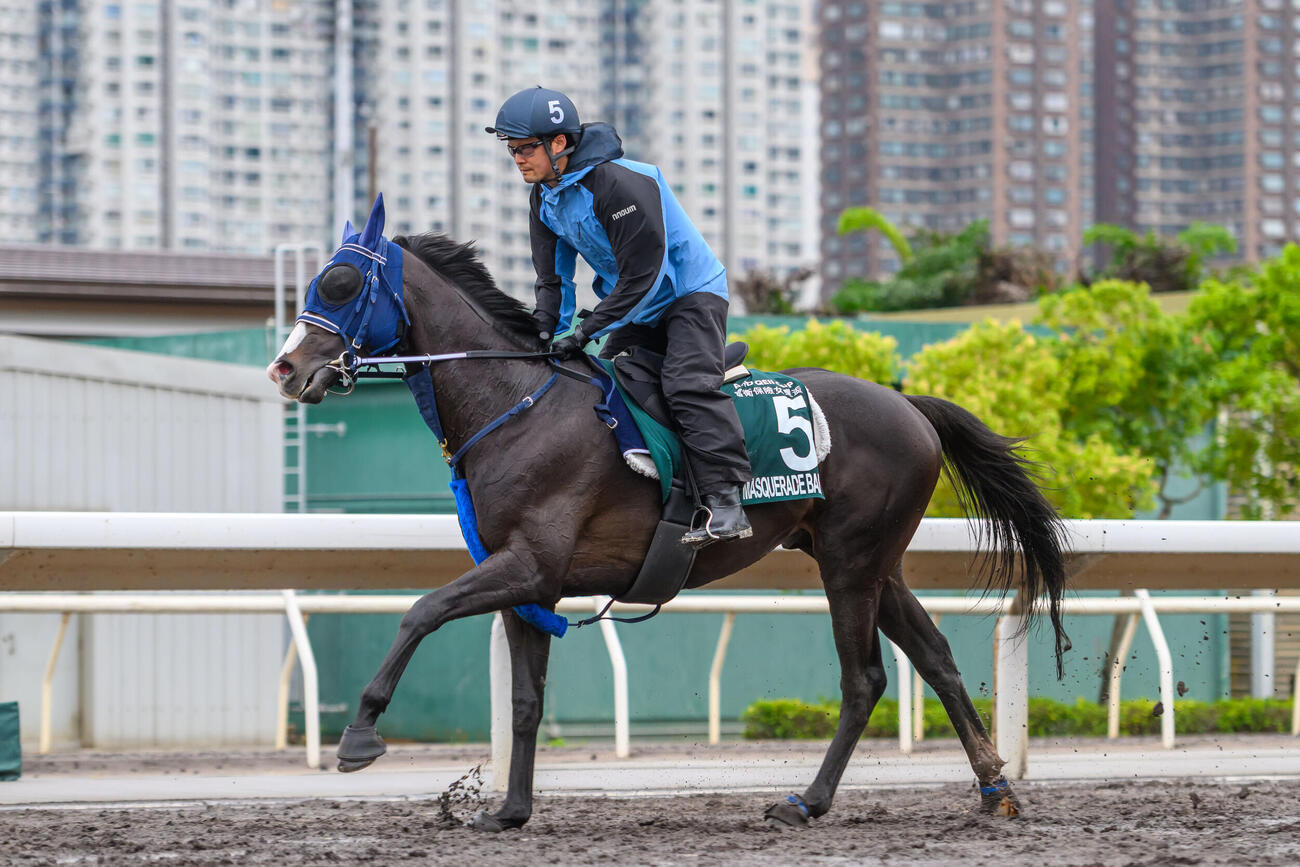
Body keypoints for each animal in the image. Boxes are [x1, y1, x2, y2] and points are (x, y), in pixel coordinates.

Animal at [268, 198, 1070, 831]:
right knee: (935, 658)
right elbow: (525, 699)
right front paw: (510, 810)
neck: (515, 401)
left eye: (340, 283)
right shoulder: (528, 583)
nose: (285, 369)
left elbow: (421, 611)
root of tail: (910, 404)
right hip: (872, 561)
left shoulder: (529, 564)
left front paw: (359, 736)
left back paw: (805, 801)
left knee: (864, 678)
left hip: (850, 561)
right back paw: (993, 787)